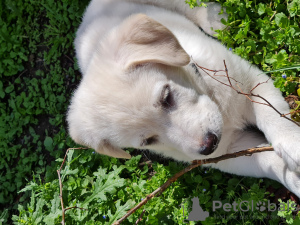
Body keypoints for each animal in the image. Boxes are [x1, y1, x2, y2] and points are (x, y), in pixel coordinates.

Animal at [67, 0, 300, 197]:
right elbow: (270, 162)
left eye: (166, 96)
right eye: (147, 141)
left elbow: (274, 117)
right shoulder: (229, 151)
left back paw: (217, 19)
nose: (208, 146)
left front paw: (293, 145)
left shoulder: (250, 83)